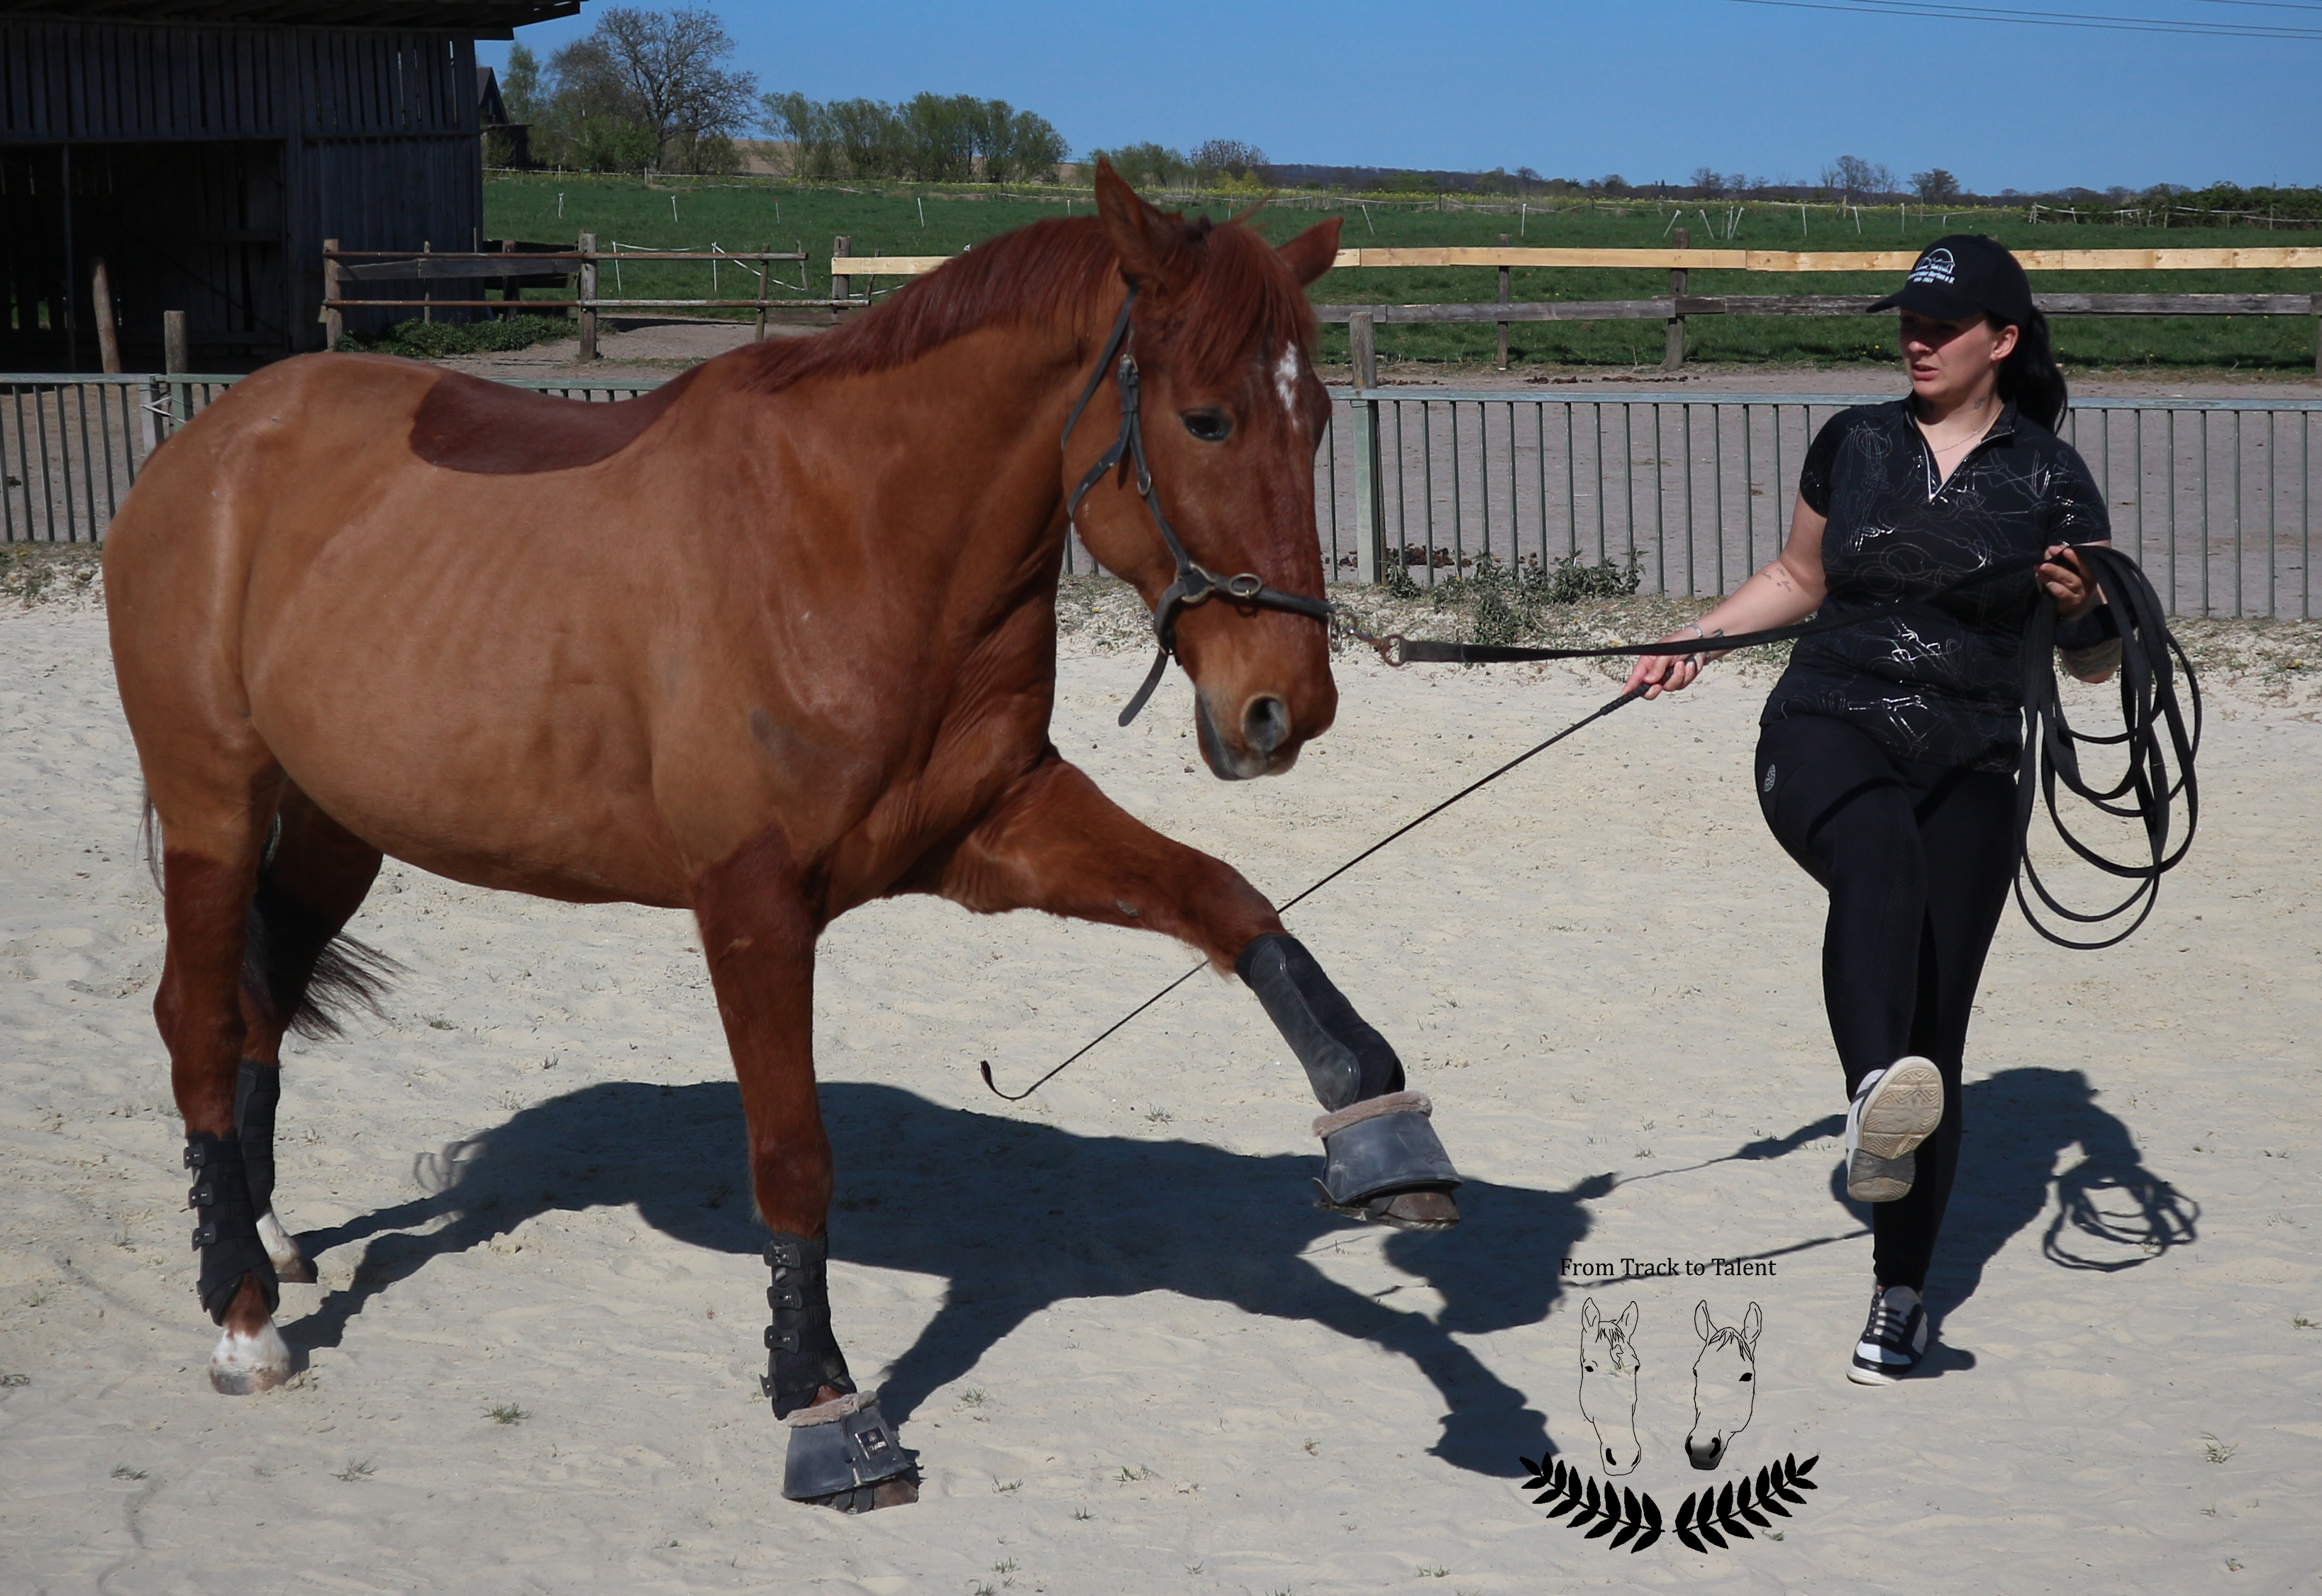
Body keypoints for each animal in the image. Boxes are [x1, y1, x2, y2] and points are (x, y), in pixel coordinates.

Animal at [100, 163, 1464, 1513]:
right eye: (1204, 420)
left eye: (1317, 417)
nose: (1283, 708)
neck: (847, 537)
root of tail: (208, 444)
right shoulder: (752, 903)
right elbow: (793, 1153)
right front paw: (823, 1407)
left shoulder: (994, 833)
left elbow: (1228, 902)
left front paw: (1377, 1124)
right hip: (216, 800)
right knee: (197, 1021)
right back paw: (241, 1315)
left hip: (341, 822)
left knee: (261, 1001)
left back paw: (272, 1238)